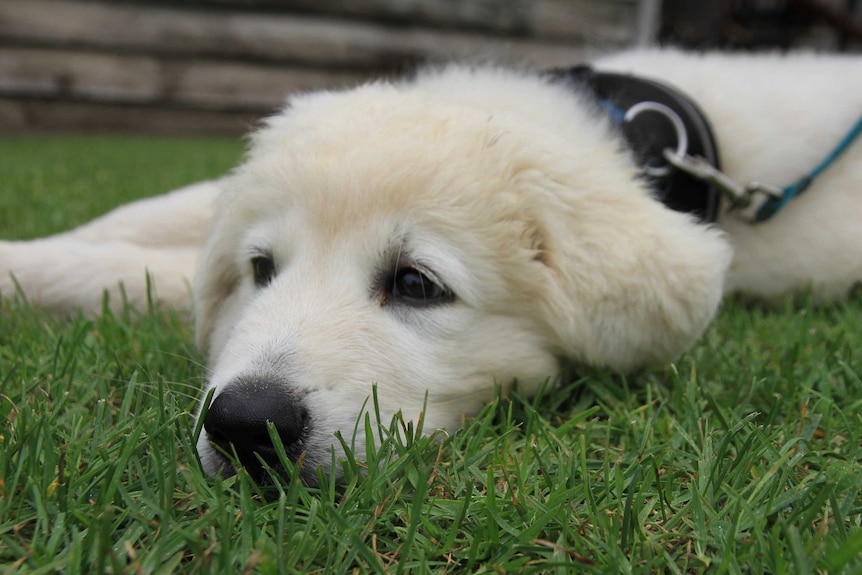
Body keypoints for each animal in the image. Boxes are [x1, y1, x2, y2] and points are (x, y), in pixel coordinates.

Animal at [1, 49, 862, 484]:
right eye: (259, 268)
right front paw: (21, 255)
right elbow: (138, 218)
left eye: (417, 284)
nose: (247, 424)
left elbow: (136, 276)